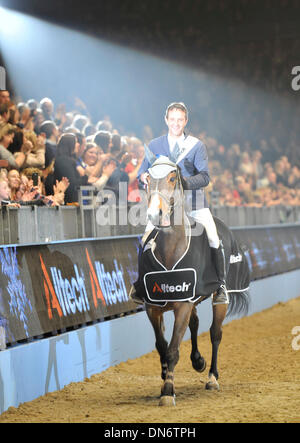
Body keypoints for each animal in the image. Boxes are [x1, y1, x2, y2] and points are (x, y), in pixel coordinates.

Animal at [137, 155, 251, 406]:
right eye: (148, 179)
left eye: (173, 178)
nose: (155, 214)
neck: (170, 250)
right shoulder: (153, 306)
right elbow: (161, 345)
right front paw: (165, 377)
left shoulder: (182, 304)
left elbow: (172, 348)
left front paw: (168, 391)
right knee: (196, 324)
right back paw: (198, 361)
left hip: (219, 299)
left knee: (215, 333)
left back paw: (212, 377)